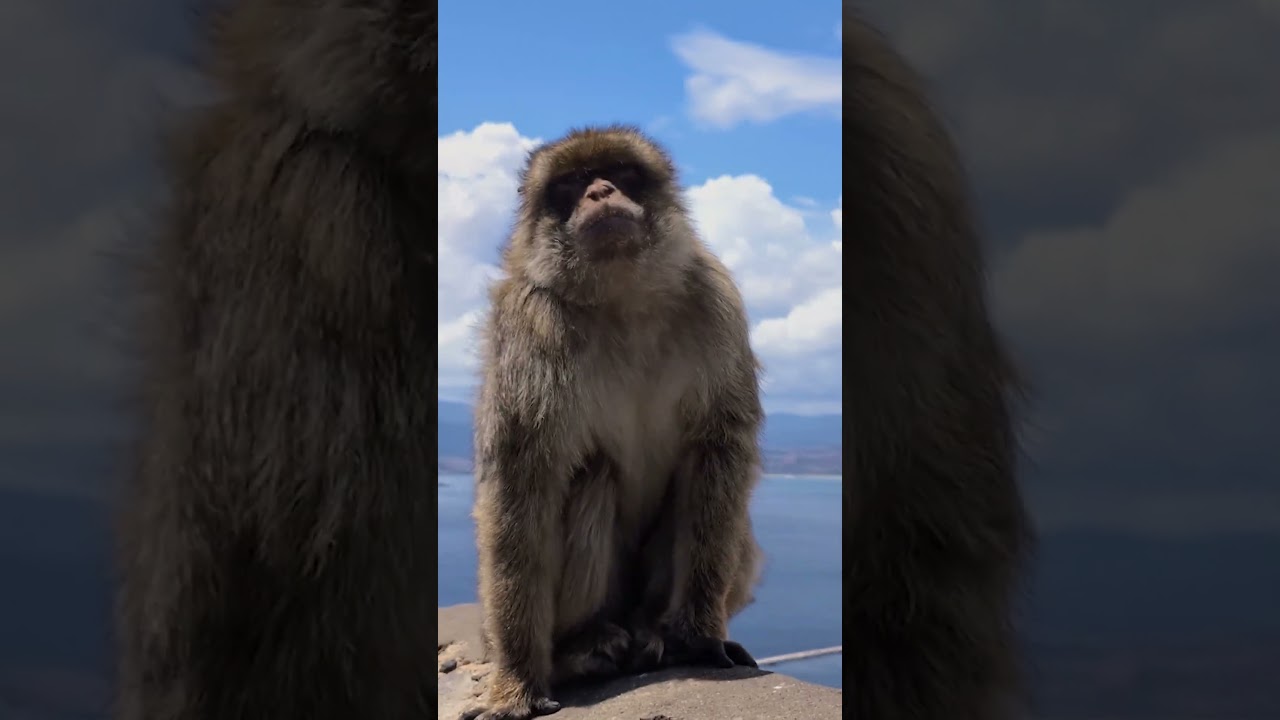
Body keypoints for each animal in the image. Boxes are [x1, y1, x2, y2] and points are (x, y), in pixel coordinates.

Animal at [461, 125, 765, 720]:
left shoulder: (713, 296)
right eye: (573, 182)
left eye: (620, 172)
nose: (600, 192)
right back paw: (581, 648)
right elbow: (521, 483)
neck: (623, 295)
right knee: (593, 473)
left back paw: (656, 631)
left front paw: (699, 637)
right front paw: (516, 682)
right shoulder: (529, 323)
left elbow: (717, 450)